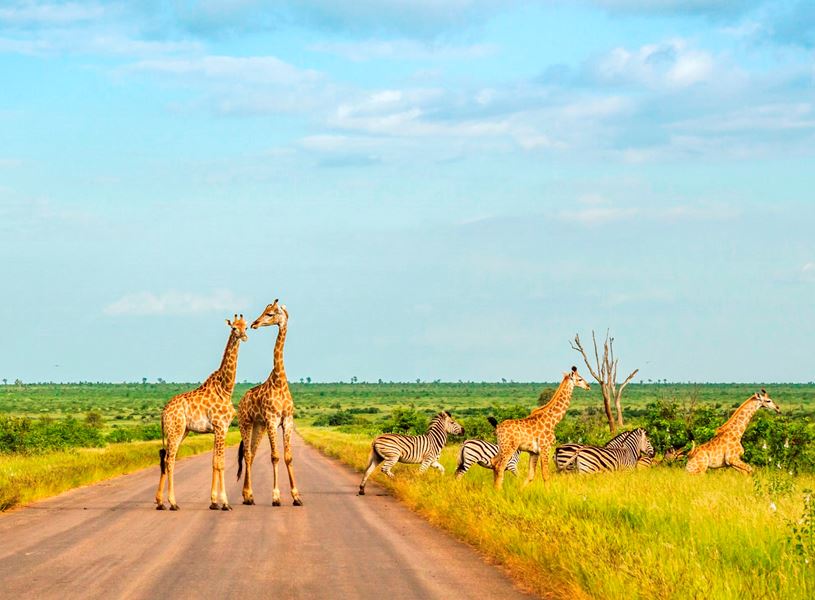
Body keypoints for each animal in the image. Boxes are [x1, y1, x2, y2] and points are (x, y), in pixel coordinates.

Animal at [154, 314, 248, 511]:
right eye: (234, 328)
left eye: (246, 327)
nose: (244, 336)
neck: (226, 389)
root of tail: (164, 412)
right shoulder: (221, 427)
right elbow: (221, 463)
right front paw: (225, 503)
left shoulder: (216, 430)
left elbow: (214, 462)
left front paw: (213, 502)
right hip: (175, 430)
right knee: (170, 460)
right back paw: (173, 503)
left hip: (182, 431)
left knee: (165, 458)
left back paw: (160, 502)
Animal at [236, 300, 302, 506]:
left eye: (271, 314)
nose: (254, 324)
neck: (279, 381)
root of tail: (241, 401)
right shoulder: (273, 421)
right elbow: (275, 457)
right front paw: (276, 496)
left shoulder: (287, 421)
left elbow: (288, 457)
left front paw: (296, 496)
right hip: (245, 423)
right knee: (247, 454)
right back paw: (248, 495)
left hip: (259, 426)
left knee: (252, 454)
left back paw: (248, 495)